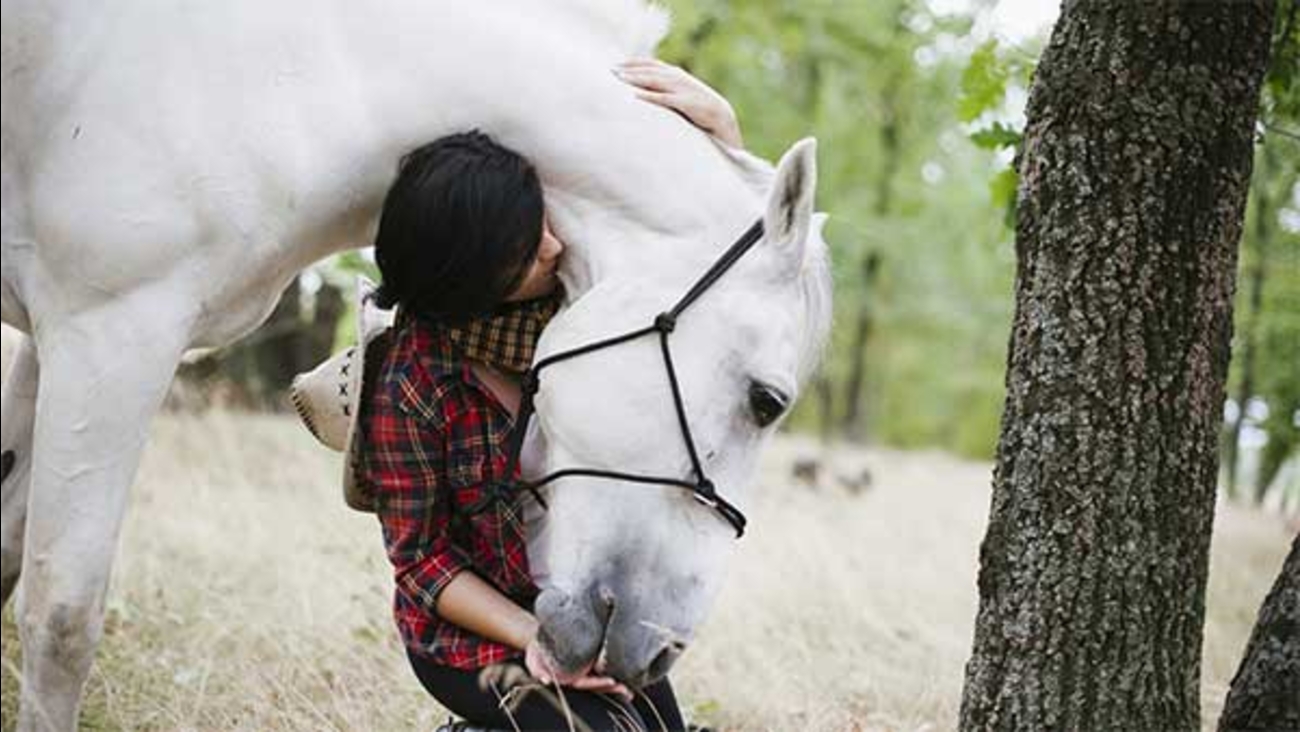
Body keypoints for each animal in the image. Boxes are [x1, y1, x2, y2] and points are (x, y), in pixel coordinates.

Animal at [0, 1, 833, 728]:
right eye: (766, 400)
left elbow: (9, 550)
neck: (296, 78)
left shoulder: (56, 342)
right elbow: (60, 616)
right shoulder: (112, 333)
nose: (661, 652)